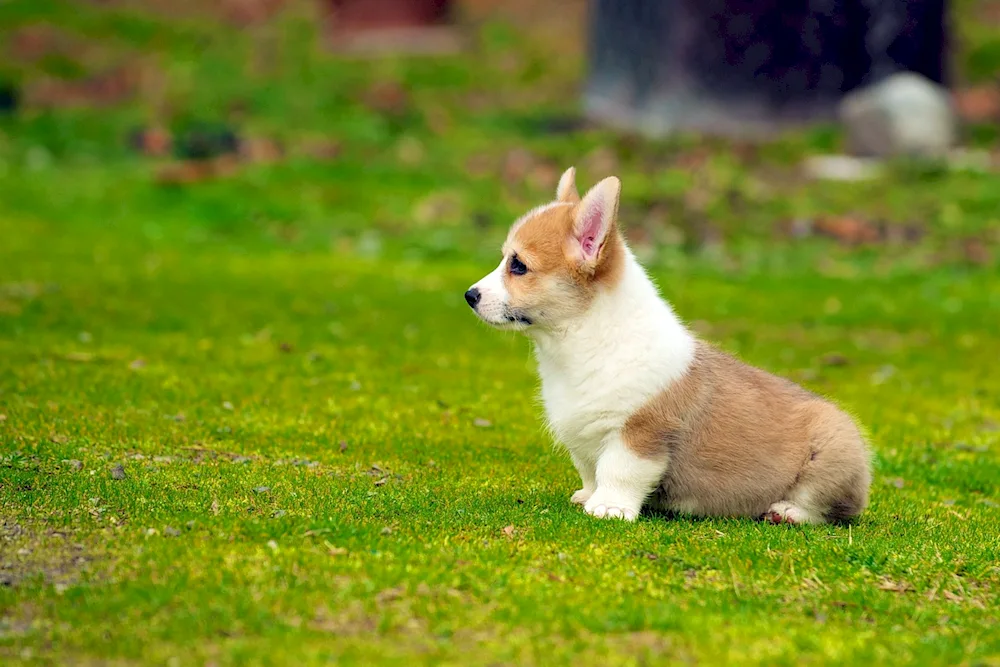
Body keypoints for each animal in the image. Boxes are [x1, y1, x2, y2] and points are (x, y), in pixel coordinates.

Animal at [464, 170, 872, 524]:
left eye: (518, 266)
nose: (470, 295)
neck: (582, 340)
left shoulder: (640, 434)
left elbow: (618, 471)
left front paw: (609, 507)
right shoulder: (582, 437)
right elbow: (590, 470)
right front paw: (588, 496)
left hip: (832, 455)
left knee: (826, 508)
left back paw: (786, 511)